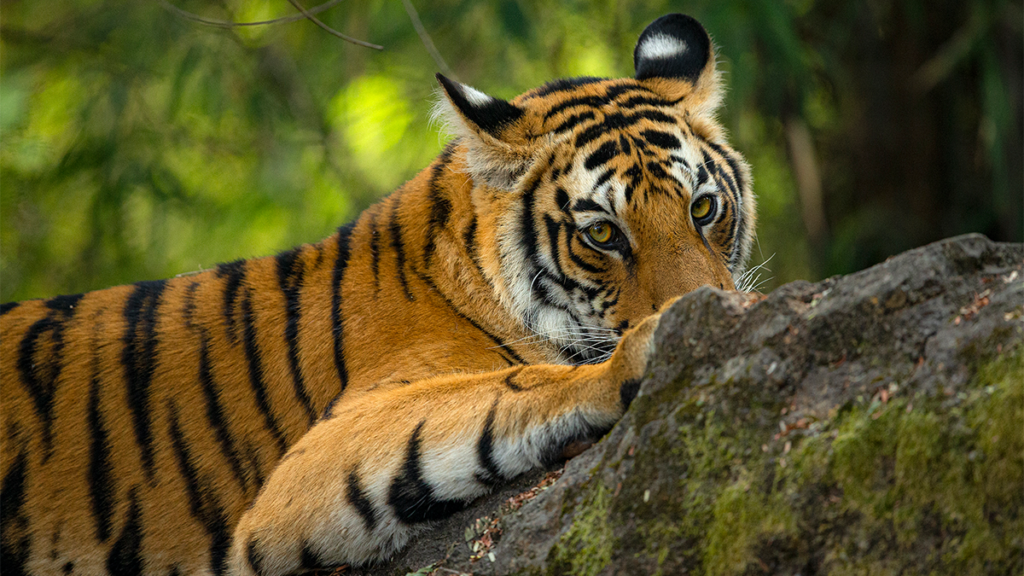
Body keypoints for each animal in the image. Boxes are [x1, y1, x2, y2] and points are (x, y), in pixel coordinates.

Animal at [0, 13, 753, 573]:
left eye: (703, 209)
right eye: (602, 233)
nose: (705, 302)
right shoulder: (305, 473)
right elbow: (517, 388)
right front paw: (650, 347)